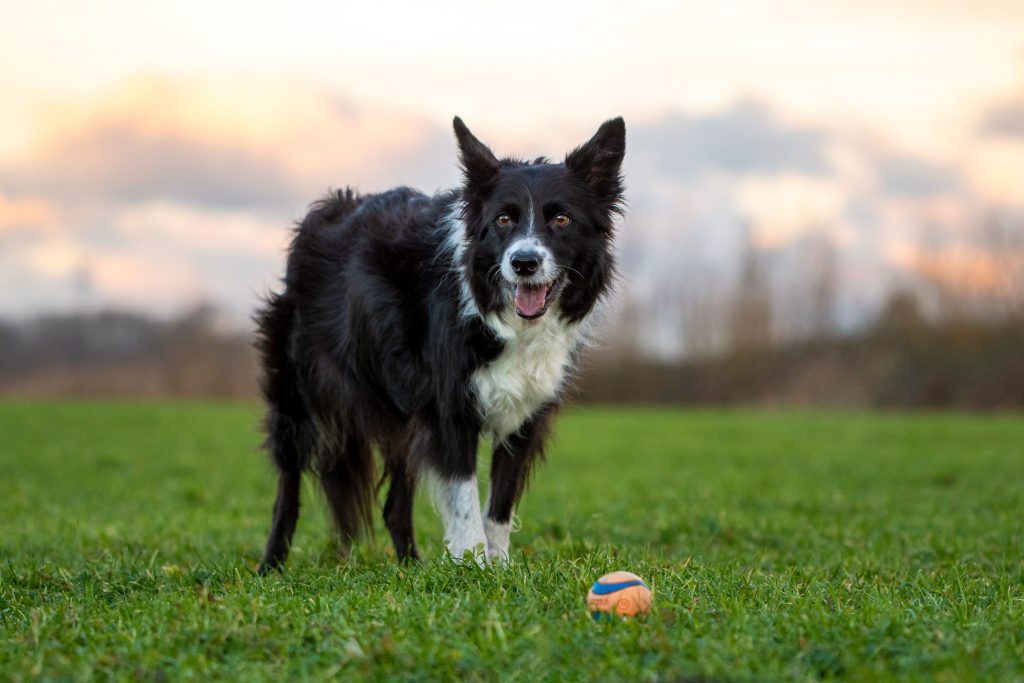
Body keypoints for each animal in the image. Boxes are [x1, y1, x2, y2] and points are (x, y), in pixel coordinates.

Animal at [256, 116, 622, 573]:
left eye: (562, 219)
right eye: (504, 219)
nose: (524, 262)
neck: (502, 318)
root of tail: (323, 210)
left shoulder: (524, 415)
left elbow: (499, 506)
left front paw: (499, 570)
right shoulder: (449, 412)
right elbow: (465, 502)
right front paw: (473, 567)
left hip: (400, 415)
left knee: (394, 507)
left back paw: (410, 568)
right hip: (298, 395)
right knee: (287, 491)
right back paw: (270, 566)